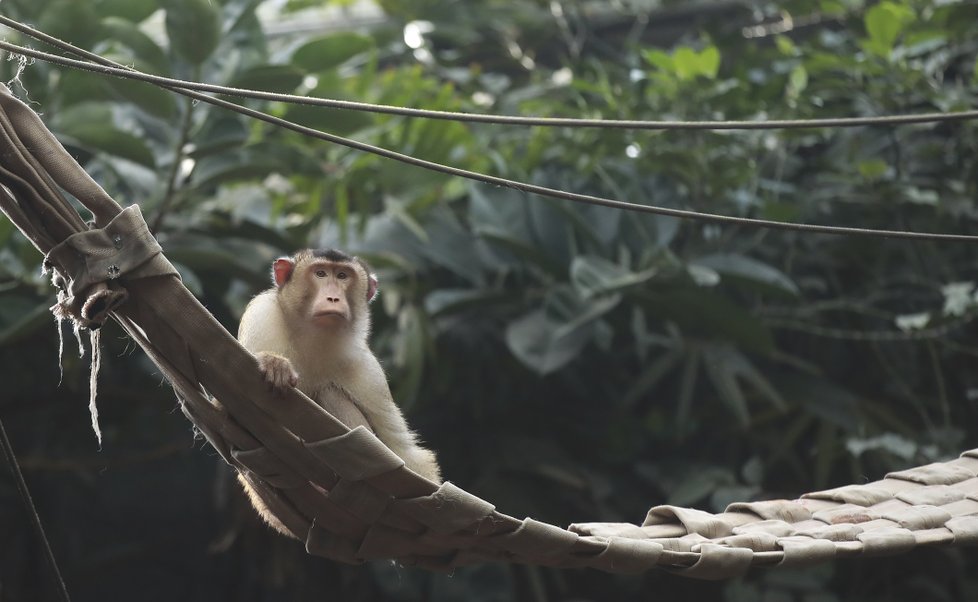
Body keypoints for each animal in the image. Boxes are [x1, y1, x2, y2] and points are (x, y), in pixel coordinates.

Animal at [233, 248, 438, 536]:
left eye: (343, 276)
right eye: (320, 273)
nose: (333, 297)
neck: (313, 337)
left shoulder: (367, 372)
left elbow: (404, 454)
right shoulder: (261, 316)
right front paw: (275, 365)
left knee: (331, 394)